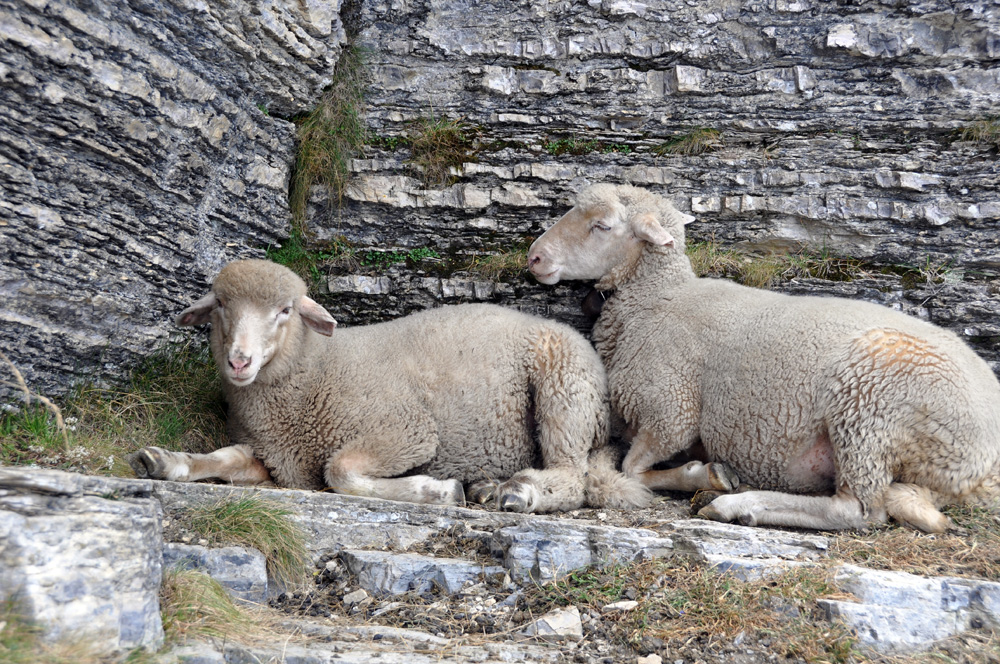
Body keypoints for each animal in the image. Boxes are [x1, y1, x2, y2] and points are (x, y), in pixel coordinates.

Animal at [125, 256, 652, 510]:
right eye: (220, 306)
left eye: (285, 310)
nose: (240, 361)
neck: (314, 370)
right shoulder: (278, 458)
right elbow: (225, 458)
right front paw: (165, 461)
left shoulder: (404, 431)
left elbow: (340, 473)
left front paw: (439, 490)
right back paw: (490, 486)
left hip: (563, 390)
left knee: (573, 478)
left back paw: (518, 492)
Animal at [524, 183, 1000, 536]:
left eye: (601, 225)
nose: (535, 257)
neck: (656, 299)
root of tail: (985, 462)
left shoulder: (670, 411)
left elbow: (632, 469)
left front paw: (704, 474)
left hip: (869, 411)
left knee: (859, 510)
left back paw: (737, 503)